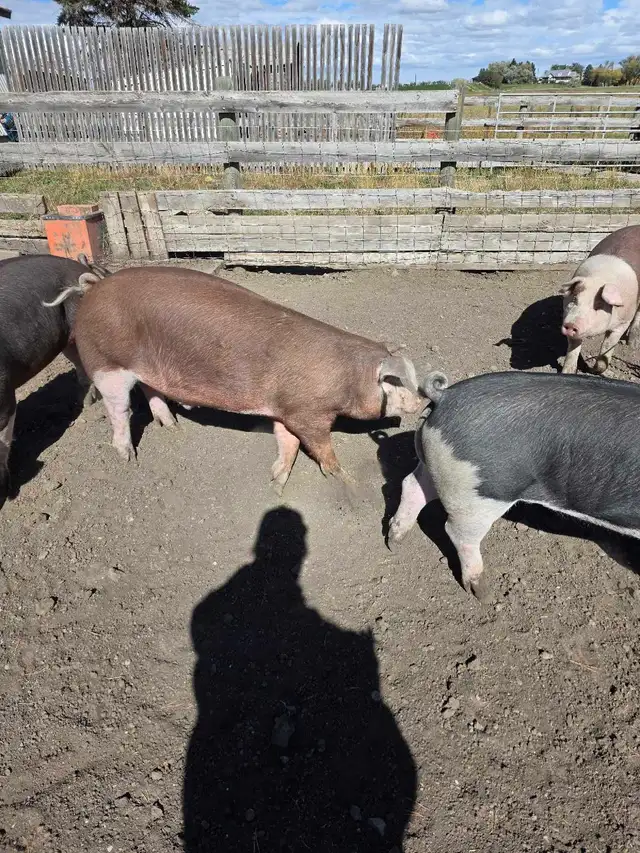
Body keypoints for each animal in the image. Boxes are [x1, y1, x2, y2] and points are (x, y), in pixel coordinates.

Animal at [53, 266, 425, 493]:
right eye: (397, 382)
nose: (423, 401)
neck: (347, 378)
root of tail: (94, 288)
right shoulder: (309, 414)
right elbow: (320, 447)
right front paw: (344, 479)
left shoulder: (287, 411)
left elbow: (288, 444)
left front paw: (275, 485)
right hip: (107, 364)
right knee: (120, 410)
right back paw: (127, 457)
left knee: (150, 388)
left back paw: (173, 427)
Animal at [389, 369, 640, 601]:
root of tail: (444, 396)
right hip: (481, 493)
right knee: (457, 531)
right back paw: (484, 594)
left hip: (443, 470)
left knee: (412, 485)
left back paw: (394, 541)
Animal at [561, 225, 640, 375]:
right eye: (574, 299)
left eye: (598, 305)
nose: (571, 325)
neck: (599, 279)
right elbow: (572, 352)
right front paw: (567, 372)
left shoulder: (623, 322)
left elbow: (607, 349)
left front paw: (595, 370)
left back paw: (633, 345)